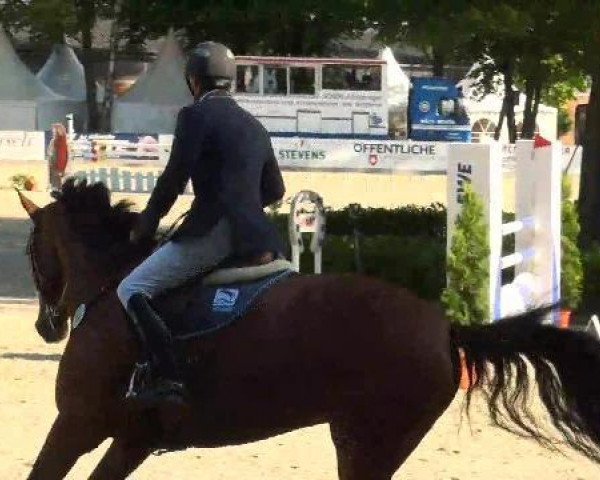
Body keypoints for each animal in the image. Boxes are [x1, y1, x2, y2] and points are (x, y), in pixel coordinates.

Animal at [16, 178, 600, 478]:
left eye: (30, 248)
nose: (48, 326)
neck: (111, 283)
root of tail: (445, 329)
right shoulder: (129, 440)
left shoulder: (76, 425)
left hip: (367, 443)